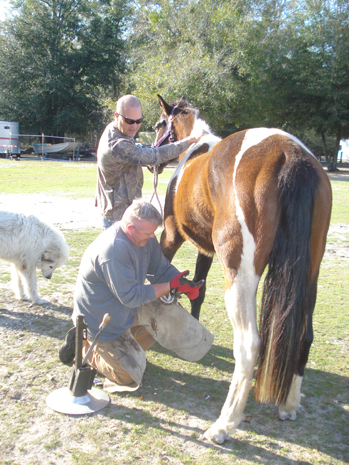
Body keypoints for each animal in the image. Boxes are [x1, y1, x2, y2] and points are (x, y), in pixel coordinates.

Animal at [153, 93, 332, 442]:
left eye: (158, 125)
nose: (152, 158)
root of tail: (290, 153)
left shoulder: (171, 235)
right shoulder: (205, 250)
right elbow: (197, 291)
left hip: (239, 277)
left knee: (249, 345)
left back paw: (224, 424)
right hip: (310, 275)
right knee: (305, 336)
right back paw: (288, 405)